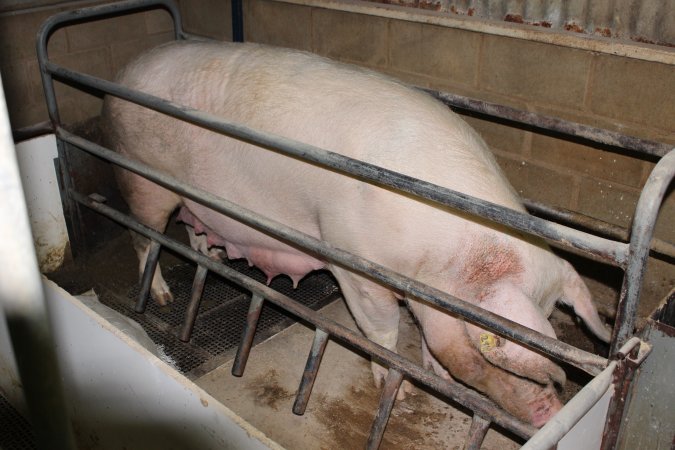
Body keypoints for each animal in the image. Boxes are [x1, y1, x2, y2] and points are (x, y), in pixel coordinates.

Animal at [101, 40, 612, 428]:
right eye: (499, 354)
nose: (551, 412)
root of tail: (128, 67)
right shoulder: (353, 261)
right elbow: (381, 331)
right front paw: (399, 393)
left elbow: (430, 342)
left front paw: (436, 378)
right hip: (142, 175)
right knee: (144, 237)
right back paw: (161, 296)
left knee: (194, 231)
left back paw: (215, 258)